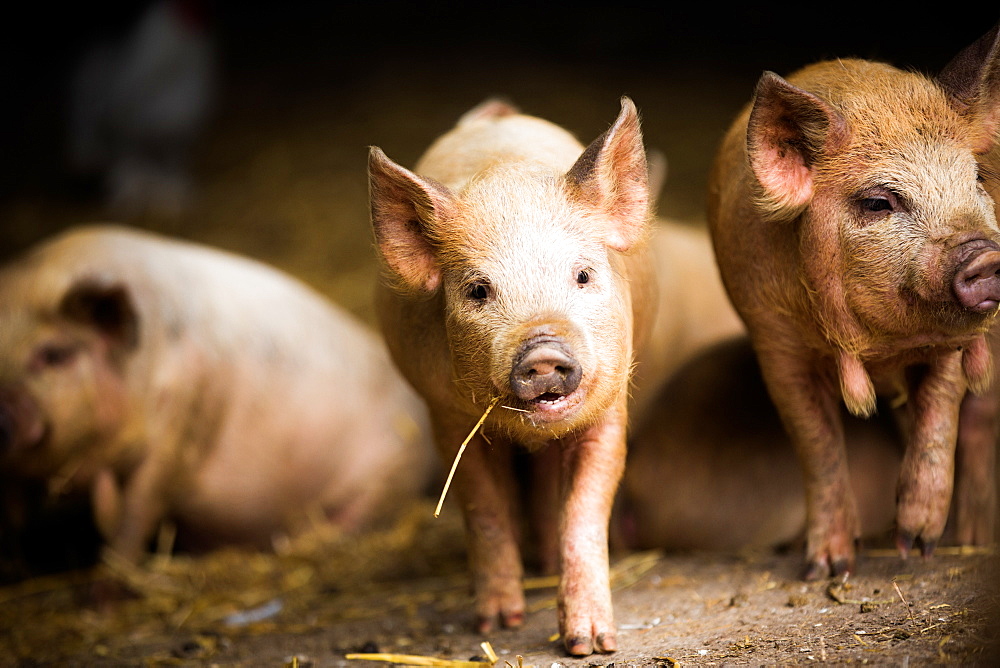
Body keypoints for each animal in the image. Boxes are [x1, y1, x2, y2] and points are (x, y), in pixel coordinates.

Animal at [0, 224, 438, 564]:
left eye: (53, 355)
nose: (6, 414)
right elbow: (14, 517)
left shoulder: (186, 413)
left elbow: (138, 511)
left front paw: (102, 597)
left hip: (393, 467)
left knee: (354, 517)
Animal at [67, 0, 216, 218]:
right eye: (187, 10)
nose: (209, 14)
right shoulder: (124, 133)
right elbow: (129, 168)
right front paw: (136, 193)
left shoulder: (177, 137)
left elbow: (172, 169)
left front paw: (173, 192)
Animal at [368, 99, 648, 656]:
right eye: (479, 290)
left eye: (582, 275)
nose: (542, 352)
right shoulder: (449, 419)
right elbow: (485, 508)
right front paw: (498, 626)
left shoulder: (609, 412)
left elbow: (585, 508)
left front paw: (591, 645)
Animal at [708, 24, 1000, 580]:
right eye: (878, 202)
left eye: (975, 179)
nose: (985, 254)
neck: (883, 349)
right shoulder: (774, 343)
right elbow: (816, 441)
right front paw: (828, 568)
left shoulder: (954, 343)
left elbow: (940, 413)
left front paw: (917, 546)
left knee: (978, 424)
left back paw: (968, 540)